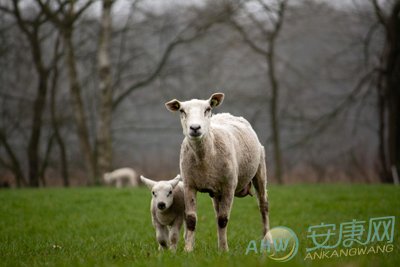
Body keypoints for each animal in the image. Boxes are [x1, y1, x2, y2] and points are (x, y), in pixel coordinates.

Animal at [164, 93, 270, 252]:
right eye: (182, 111)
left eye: (208, 109)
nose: (195, 128)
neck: (204, 157)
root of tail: (228, 114)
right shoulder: (189, 185)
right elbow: (191, 220)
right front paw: (188, 249)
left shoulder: (229, 186)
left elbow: (223, 219)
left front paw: (224, 250)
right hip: (216, 191)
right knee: (217, 212)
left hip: (260, 170)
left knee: (263, 206)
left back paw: (268, 241)